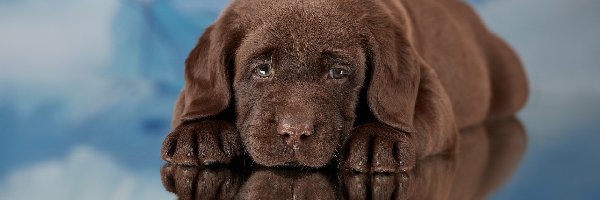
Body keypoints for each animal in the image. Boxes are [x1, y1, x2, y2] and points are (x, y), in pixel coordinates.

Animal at [162, 0, 528, 173]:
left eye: (338, 73)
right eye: (262, 70)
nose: (294, 133)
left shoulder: (429, 89)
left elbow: (415, 118)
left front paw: (380, 140)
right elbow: (196, 106)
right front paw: (201, 134)